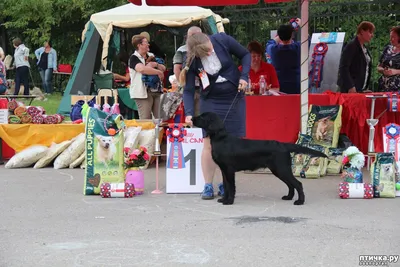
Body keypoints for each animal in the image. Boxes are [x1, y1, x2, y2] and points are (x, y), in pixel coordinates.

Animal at [191, 112, 328, 206]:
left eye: (203, 117)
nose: (191, 118)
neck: (221, 139)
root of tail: (283, 145)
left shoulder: (229, 170)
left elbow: (231, 187)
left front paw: (229, 201)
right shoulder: (224, 170)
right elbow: (226, 186)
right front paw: (224, 199)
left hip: (281, 169)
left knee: (297, 184)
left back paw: (300, 201)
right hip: (279, 170)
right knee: (290, 185)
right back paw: (288, 197)